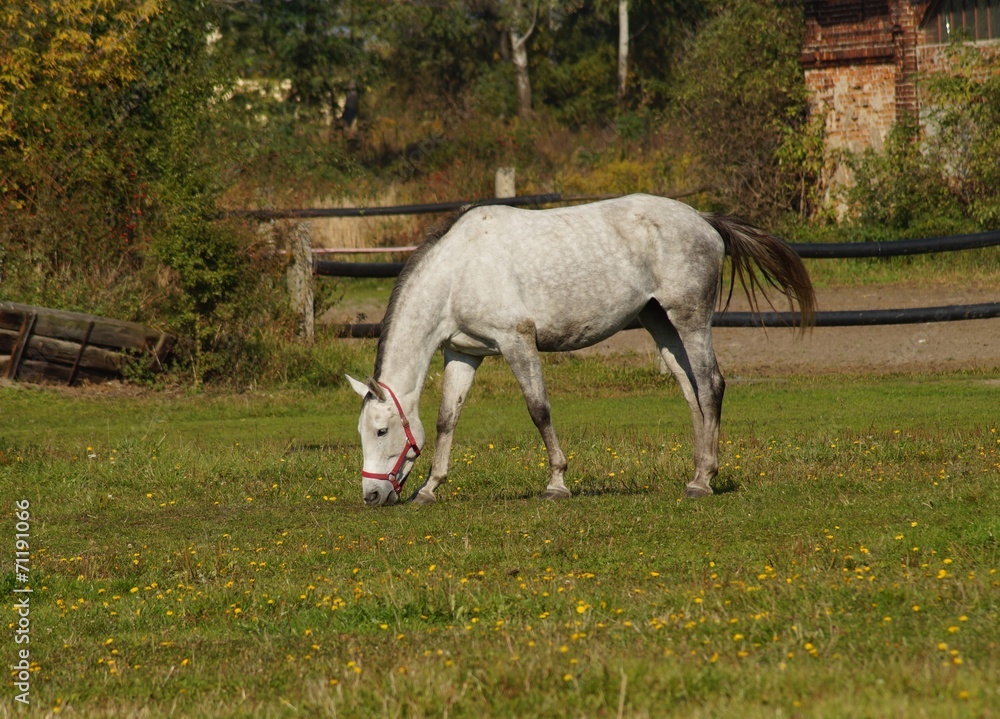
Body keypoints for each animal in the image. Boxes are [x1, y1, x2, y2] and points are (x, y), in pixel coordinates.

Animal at [347, 194, 815, 507]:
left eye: (382, 431)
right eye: (362, 432)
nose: (372, 494)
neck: (459, 271)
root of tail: (704, 219)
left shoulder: (517, 341)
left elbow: (539, 410)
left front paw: (557, 483)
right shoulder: (464, 353)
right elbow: (447, 420)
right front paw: (430, 488)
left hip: (691, 319)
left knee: (711, 384)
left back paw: (703, 483)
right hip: (659, 322)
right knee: (691, 392)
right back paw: (698, 474)